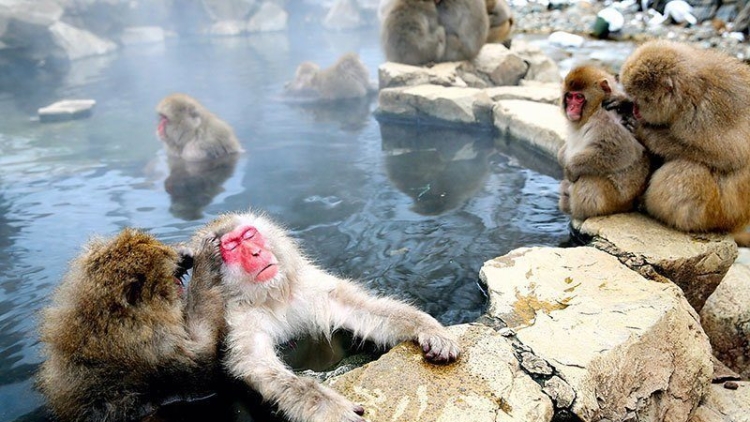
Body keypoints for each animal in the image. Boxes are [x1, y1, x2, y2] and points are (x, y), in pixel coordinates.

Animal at [192, 210, 461, 422]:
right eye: (231, 248)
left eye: (249, 236)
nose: (256, 253)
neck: (272, 297)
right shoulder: (240, 320)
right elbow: (257, 365)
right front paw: (328, 407)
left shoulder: (310, 288)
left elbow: (360, 309)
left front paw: (427, 328)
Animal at [557, 65, 650, 220]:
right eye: (569, 96)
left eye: (579, 97)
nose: (571, 108)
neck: (594, 110)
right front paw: (561, 156)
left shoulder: (605, 121)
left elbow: (624, 151)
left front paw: (571, 168)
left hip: (614, 201)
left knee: (588, 179)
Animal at [620, 40, 750, 233]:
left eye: (641, 100)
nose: (635, 110)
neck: (688, 95)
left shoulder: (706, 114)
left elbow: (729, 157)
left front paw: (646, 134)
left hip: (718, 212)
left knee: (686, 170)